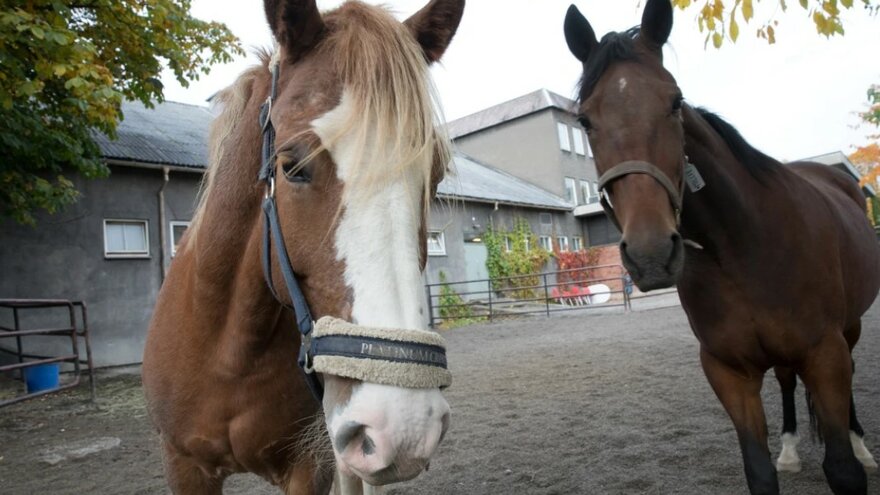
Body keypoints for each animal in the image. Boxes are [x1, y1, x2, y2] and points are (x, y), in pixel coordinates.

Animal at [141, 1, 464, 494]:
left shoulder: (312, 465)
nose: (404, 424)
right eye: (292, 166)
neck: (232, 354)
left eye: (435, 175)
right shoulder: (183, 464)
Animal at [568, 1, 876, 494]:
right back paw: (791, 448)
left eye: (675, 101)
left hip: (851, 329)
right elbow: (759, 470)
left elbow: (843, 470)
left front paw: (852, 453)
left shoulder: (824, 355)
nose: (651, 253)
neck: (742, 251)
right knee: (786, 381)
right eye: (585, 120)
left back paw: (862, 444)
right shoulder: (728, 371)